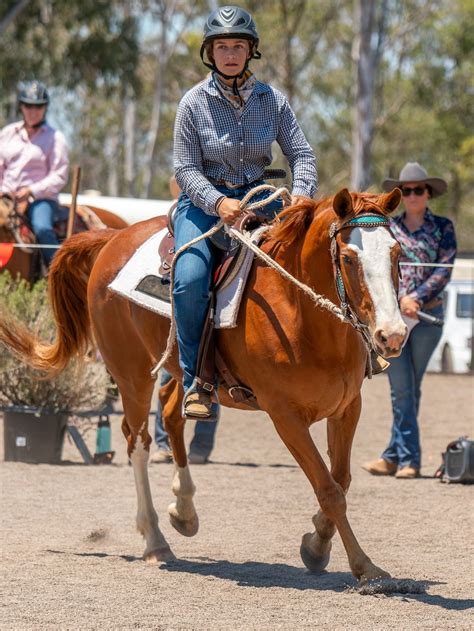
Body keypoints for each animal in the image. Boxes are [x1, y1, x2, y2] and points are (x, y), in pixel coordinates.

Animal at [0, 188, 408, 584]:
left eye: (397, 252)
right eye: (349, 257)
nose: (393, 334)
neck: (299, 313)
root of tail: (113, 238)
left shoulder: (347, 407)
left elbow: (341, 480)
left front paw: (317, 544)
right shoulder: (286, 417)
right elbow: (328, 489)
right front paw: (364, 566)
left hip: (186, 374)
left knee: (172, 415)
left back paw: (183, 511)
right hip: (132, 375)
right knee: (138, 442)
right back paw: (155, 540)